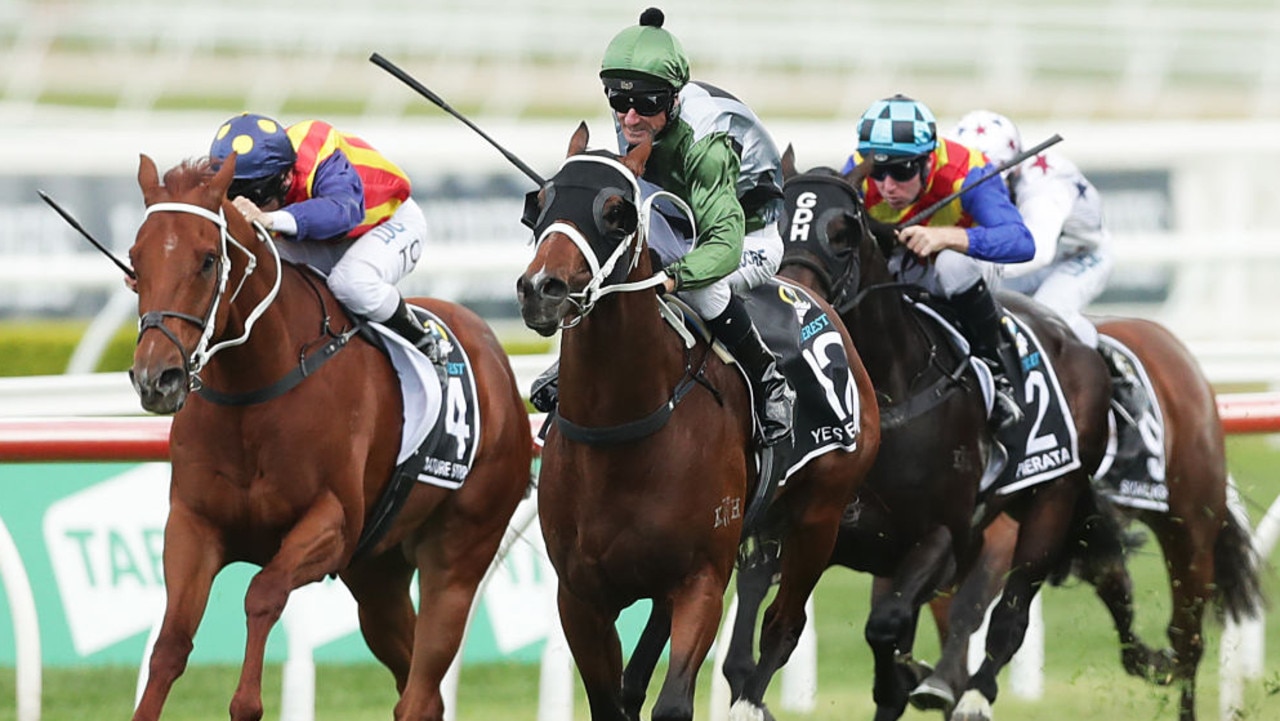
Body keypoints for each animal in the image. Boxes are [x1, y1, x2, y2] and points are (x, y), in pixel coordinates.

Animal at [129, 153, 529, 721]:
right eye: (135, 260)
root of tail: (498, 361)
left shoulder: (332, 522)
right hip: (378, 573)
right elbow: (170, 643)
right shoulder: (193, 523)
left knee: (422, 684)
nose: (155, 378)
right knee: (414, 681)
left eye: (207, 260)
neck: (256, 389)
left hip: (458, 553)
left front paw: (248, 701)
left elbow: (263, 592)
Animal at [512, 121, 880, 717]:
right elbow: (610, 698)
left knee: (783, 624)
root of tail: (811, 295)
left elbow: (673, 701)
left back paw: (749, 702)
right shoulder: (581, 595)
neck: (623, 430)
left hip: (819, 515)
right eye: (539, 202)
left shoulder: (702, 580)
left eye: (616, 211)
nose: (542, 289)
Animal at [921, 316, 1259, 721]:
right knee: (1114, 579)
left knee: (1187, 635)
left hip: (1189, 526)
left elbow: (970, 606)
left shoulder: (1014, 526)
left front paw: (956, 689)